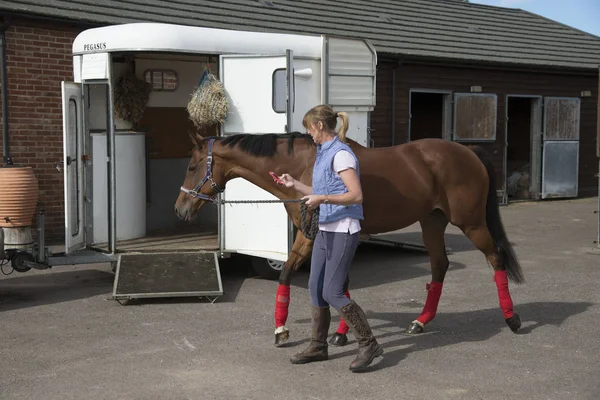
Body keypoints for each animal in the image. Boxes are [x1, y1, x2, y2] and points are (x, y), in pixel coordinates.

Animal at [175, 130, 524, 346]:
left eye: (192, 166)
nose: (180, 209)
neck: (304, 166)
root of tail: (467, 151)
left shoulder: (322, 235)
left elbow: (334, 282)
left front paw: (329, 333)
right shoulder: (314, 236)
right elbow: (300, 276)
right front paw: (286, 330)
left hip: (472, 223)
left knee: (495, 257)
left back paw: (512, 319)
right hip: (432, 222)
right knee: (439, 266)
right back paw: (420, 322)